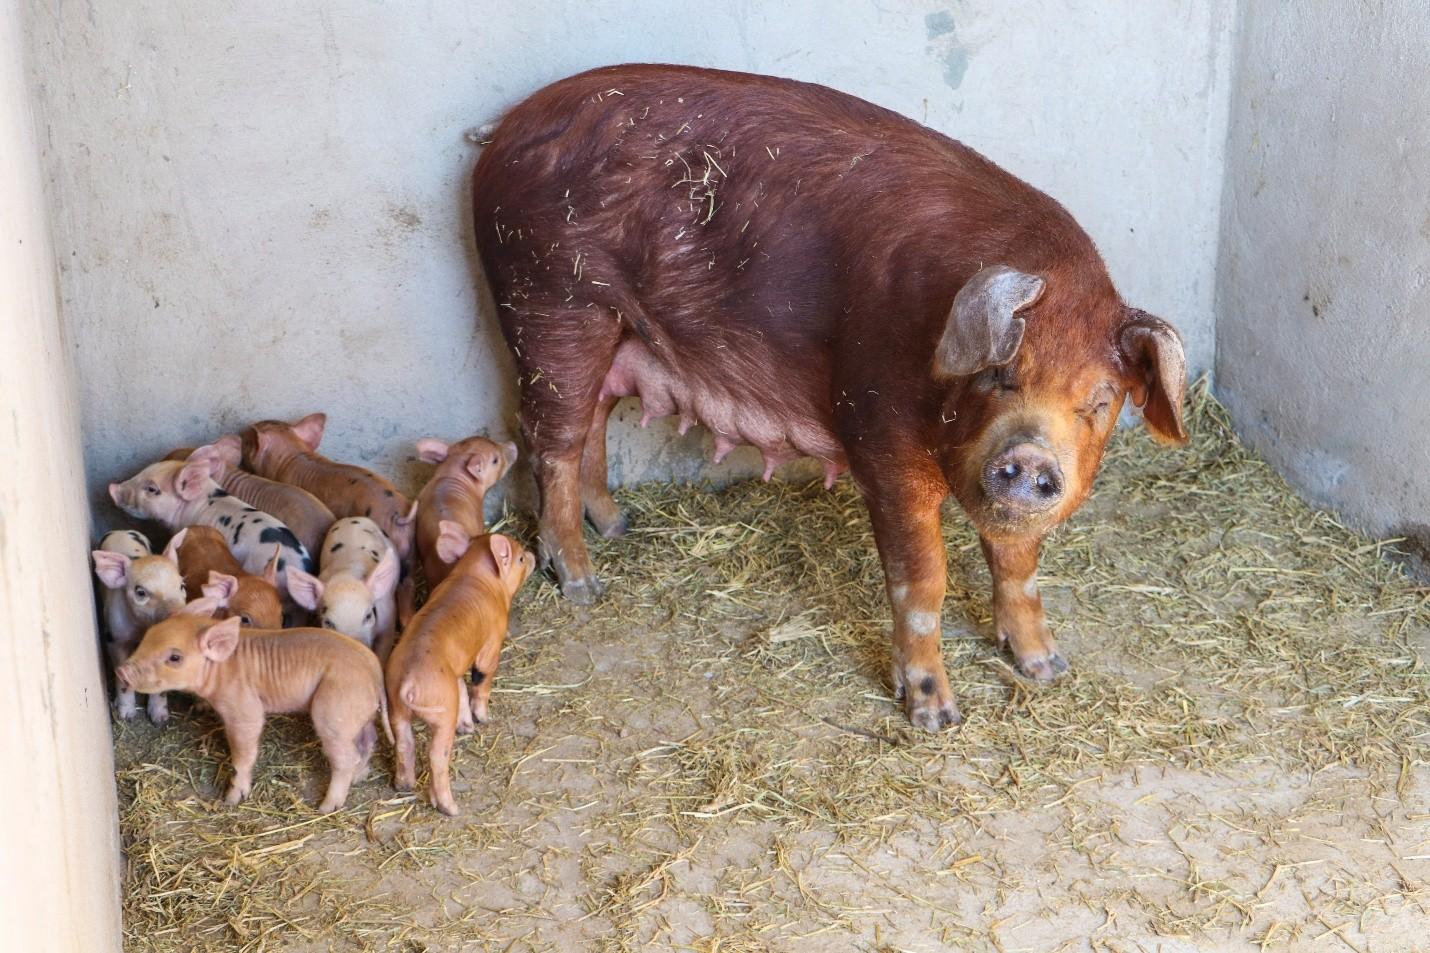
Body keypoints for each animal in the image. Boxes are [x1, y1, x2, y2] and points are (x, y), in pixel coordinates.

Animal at [92, 528, 188, 723]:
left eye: (181, 585)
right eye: (141, 592)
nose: (180, 616)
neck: (141, 630)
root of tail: (121, 530)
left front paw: (160, 720)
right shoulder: (115, 637)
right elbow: (121, 676)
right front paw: (127, 716)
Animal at [116, 598, 390, 812]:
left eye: (175, 657)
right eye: (147, 637)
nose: (121, 671)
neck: (220, 669)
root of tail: (374, 669)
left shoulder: (243, 708)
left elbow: (244, 752)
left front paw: (231, 800)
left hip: (334, 711)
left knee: (347, 756)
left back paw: (325, 807)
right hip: (358, 713)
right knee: (368, 741)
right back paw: (359, 777)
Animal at [386, 527, 534, 815]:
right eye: (521, 559)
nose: (533, 554)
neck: (475, 575)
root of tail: (408, 681)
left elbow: (463, 687)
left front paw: (468, 726)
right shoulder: (492, 642)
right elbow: (481, 679)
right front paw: (484, 719)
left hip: (397, 709)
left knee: (404, 743)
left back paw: (403, 786)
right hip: (442, 712)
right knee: (436, 756)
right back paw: (451, 809)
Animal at [471, 65, 1187, 730]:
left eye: (1100, 400)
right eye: (999, 374)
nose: (1033, 458)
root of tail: (503, 131)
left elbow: (1018, 565)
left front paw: (1047, 669)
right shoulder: (878, 433)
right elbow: (922, 578)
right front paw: (935, 717)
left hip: (603, 325)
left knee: (590, 419)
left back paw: (618, 525)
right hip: (548, 302)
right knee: (551, 439)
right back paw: (583, 585)